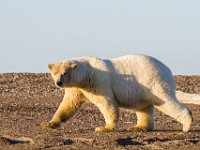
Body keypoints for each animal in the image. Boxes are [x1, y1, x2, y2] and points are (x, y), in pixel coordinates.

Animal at [42, 54, 192, 132]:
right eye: (55, 73)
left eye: (64, 73)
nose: (59, 83)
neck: (86, 73)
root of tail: (168, 70)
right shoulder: (77, 89)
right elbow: (68, 105)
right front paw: (49, 123)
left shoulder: (98, 83)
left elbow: (107, 104)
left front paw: (104, 128)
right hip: (144, 90)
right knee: (144, 108)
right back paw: (139, 127)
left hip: (153, 82)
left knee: (166, 102)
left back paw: (186, 124)